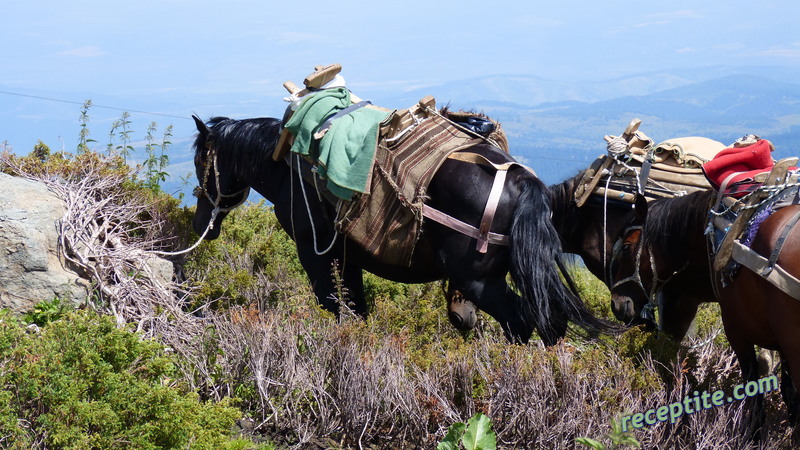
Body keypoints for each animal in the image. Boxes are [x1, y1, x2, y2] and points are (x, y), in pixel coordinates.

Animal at [191, 113, 616, 344]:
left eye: (200, 164)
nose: (200, 226)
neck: (287, 165)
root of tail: (520, 179)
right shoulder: (347, 256)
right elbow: (355, 308)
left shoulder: (315, 252)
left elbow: (335, 304)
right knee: (549, 322)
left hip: (478, 280)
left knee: (521, 321)